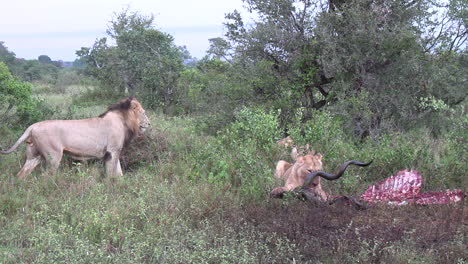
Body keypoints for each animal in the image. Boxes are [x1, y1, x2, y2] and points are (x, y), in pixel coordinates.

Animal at [0, 97, 150, 179]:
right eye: (143, 112)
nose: (149, 124)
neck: (124, 120)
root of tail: (33, 126)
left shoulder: (114, 152)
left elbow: (119, 173)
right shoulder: (112, 151)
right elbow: (111, 173)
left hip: (34, 156)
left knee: (21, 174)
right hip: (54, 156)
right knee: (45, 177)